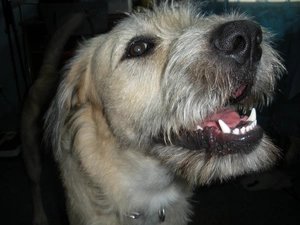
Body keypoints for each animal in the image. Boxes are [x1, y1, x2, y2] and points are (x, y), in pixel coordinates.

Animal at [22, 0, 282, 224]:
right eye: (137, 48)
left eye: (193, 21)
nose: (248, 37)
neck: (153, 190)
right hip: (32, 158)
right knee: (33, 187)